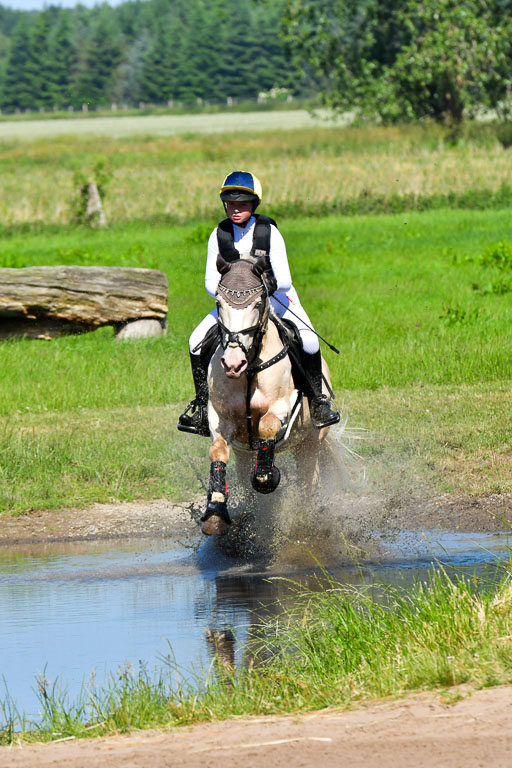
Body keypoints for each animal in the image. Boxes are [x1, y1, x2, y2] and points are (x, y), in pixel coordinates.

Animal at [200, 255, 336, 536]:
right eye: (219, 303)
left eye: (258, 302)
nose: (233, 364)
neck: (250, 367)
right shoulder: (220, 417)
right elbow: (218, 452)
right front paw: (215, 513)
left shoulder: (284, 404)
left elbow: (267, 426)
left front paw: (265, 477)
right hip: (244, 453)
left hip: (310, 441)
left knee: (309, 482)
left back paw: (306, 522)